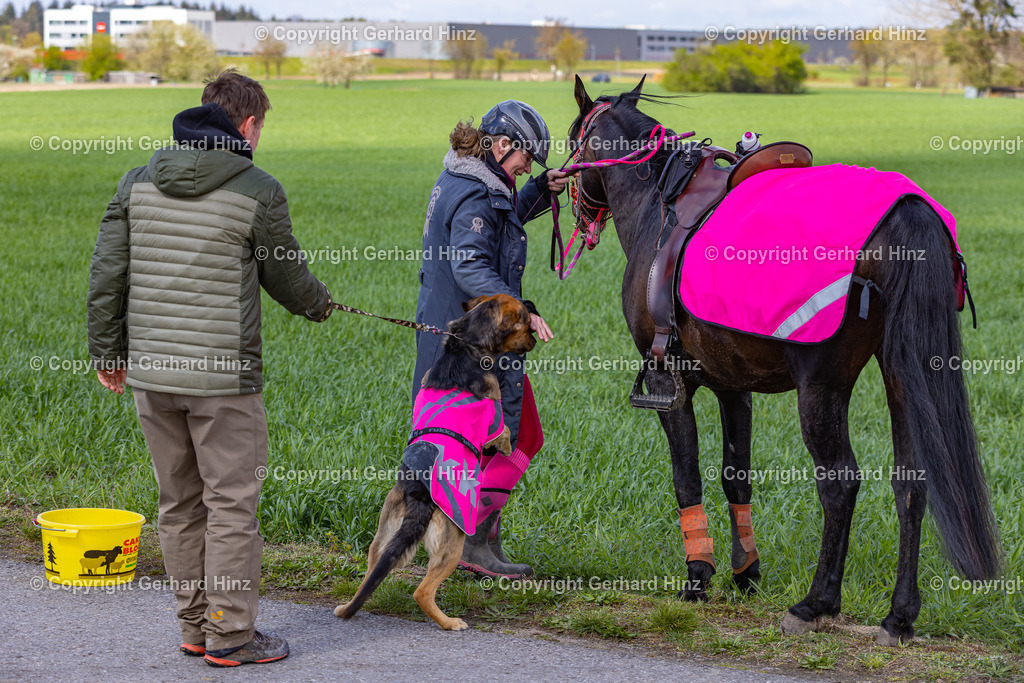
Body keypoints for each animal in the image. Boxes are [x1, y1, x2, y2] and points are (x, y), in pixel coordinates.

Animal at [339, 294, 540, 630]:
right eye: (525, 323)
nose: (535, 341)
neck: (466, 343)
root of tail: (417, 495)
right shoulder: (494, 417)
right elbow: (504, 432)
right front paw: (506, 446)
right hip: (451, 542)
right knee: (422, 591)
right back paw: (449, 622)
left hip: (384, 534)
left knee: (371, 572)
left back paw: (347, 606)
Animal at [565, 77, 995, 643]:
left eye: (574, 140)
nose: (573, 205)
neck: (659, 202)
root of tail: (907, 207)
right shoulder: (733, 385)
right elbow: (735, 474)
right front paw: (745, 571)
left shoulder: (670, 385)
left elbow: (687, 477)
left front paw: (698, 577)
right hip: (904, 376)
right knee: (911, 482)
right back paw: (900, 615)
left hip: (822, 387)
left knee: (840, 482)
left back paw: (816, 603)